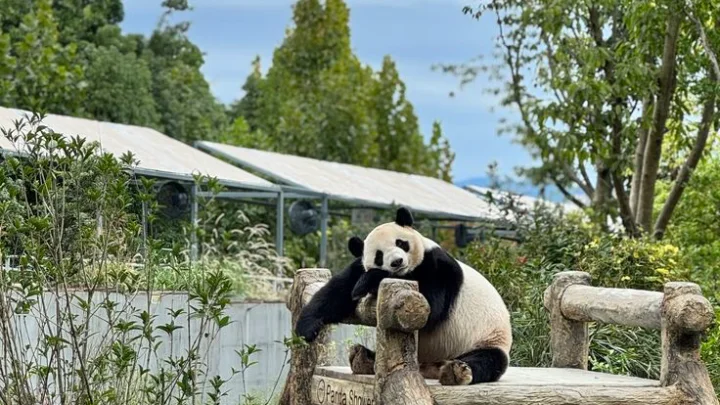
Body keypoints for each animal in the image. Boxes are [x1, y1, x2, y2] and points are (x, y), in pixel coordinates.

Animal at [295, 207, 512, 386]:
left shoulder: (437, 266)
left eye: (401, 243)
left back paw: (456, 372)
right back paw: (363, 358)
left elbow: (429, 308)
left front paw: (369, 281)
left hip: (484, 338)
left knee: (487, 359)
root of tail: (428, 367)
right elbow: (336, 292)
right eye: (379, 255)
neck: (406, 272)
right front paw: (305, 329)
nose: (397, 262)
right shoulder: (359, 266)